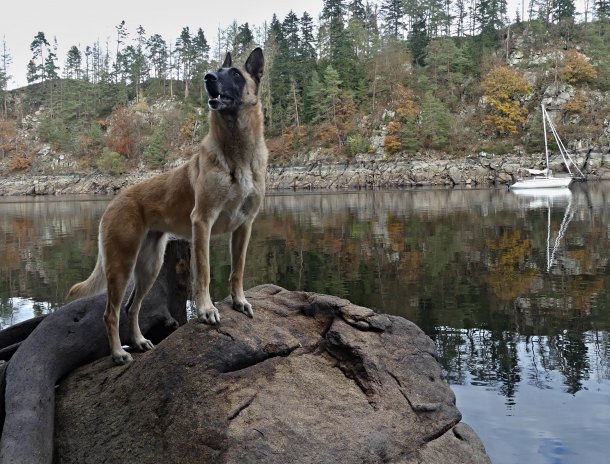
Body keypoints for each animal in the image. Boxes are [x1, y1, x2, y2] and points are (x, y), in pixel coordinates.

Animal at [67, 48, 268, 366]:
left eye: (236, 74)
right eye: (217, 70)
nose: (208, 77)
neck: (237, 153)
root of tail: (115, 200)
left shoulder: (244, 226)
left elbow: (238, 269)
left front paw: (239, 301)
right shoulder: (202, 224)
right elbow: (204, 273)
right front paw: (206, 310)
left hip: (150, 266)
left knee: (131, 308)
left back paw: (138, 342)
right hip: (121, 266)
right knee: (110, 313)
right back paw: (118, 353)